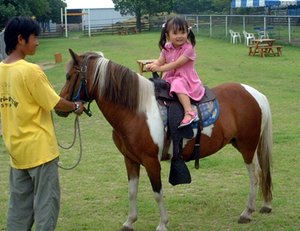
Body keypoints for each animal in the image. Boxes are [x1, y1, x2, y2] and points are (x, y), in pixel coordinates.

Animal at [55, 49, 274, 230]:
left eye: (69, 76)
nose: (59, 108)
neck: (136, 111)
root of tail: (255, 93)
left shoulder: (151, 161)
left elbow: (157, 192)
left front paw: (162, 224)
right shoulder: (130, 160)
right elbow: (132, 191)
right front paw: (129, 222)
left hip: (247, 146)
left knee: (255, 175)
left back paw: (247, 213)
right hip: (242, 144)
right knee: (261, 172)